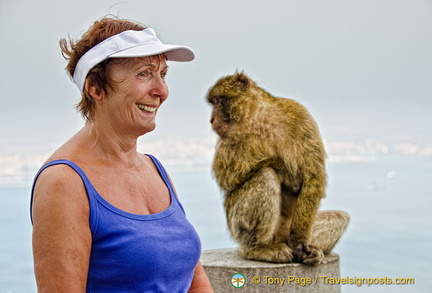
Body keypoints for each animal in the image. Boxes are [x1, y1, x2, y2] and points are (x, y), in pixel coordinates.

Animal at [207, 72, 352, 264]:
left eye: (217, 101)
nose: (211, 119)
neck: (259, 118)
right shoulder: (228, 137)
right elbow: (227, 178)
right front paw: (286, 172)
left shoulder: (299, 114)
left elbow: (313, 177)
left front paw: (299, 242)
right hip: (236, 225)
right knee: (266, 175)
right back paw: (257, 249)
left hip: (288, 229)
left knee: (340, 217)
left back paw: (312, 249)